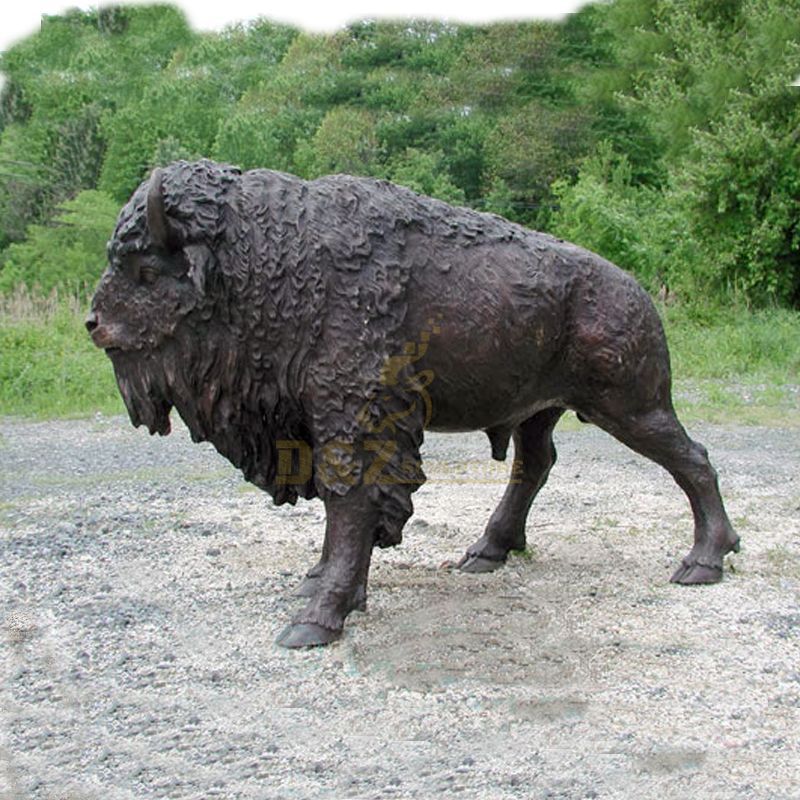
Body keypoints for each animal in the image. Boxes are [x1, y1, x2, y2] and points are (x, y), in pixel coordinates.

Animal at [87, 160, 740, 648]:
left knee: (692, 458)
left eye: (145, 270)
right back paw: (486, 552)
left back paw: (704, 562)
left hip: (629, 405)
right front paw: (320, 585)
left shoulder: (353, 416)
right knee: (535, 466)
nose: (93, 323)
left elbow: (349, 504)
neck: (273, 260)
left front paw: (316, 620)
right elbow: (342, 511)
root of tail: (637, 292)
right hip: (541, 409)